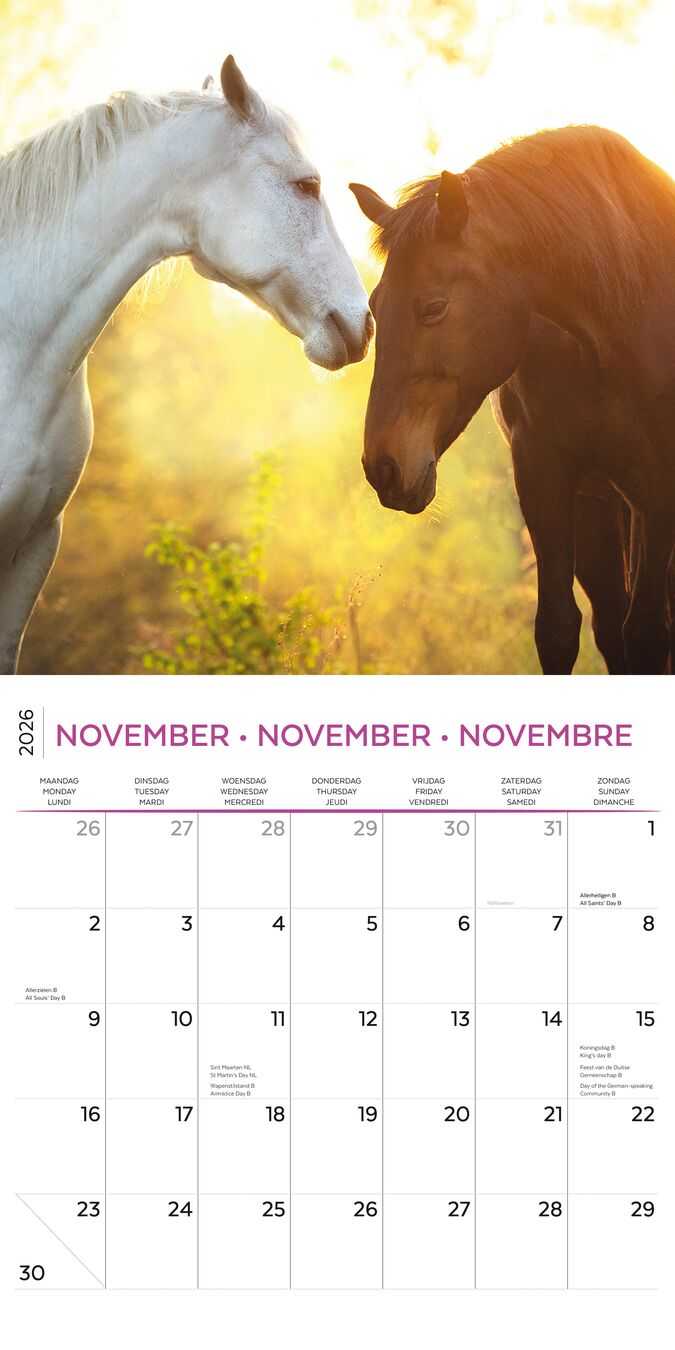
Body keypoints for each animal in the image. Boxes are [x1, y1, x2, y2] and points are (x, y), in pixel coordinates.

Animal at [350, 125, 675, 674]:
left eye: (433, 307)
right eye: (376, 305)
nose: (384, 468)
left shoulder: (657, 489)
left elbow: (649, 634)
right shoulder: (546, 476)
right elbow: (559, 630)